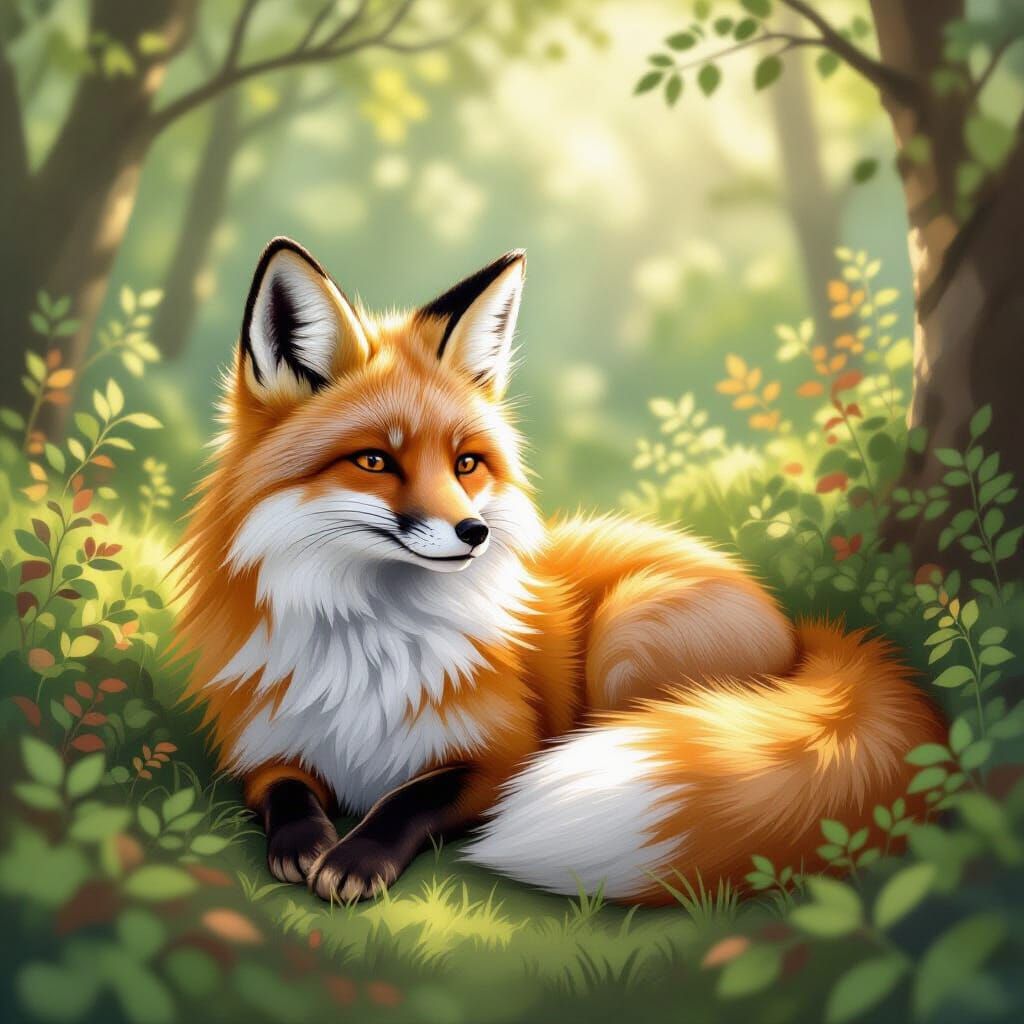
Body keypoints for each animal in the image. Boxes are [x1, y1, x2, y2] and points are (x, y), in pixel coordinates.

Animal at [175, 236, 945, 905]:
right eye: (374, 460)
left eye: (466, 463)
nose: (474, 532)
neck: (371, 645)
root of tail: (803, 628)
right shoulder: (261, 745)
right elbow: (286, 792)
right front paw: (304, 841)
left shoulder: (502, 755)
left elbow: (412, 796)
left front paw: (357, 854)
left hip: (627, 643)